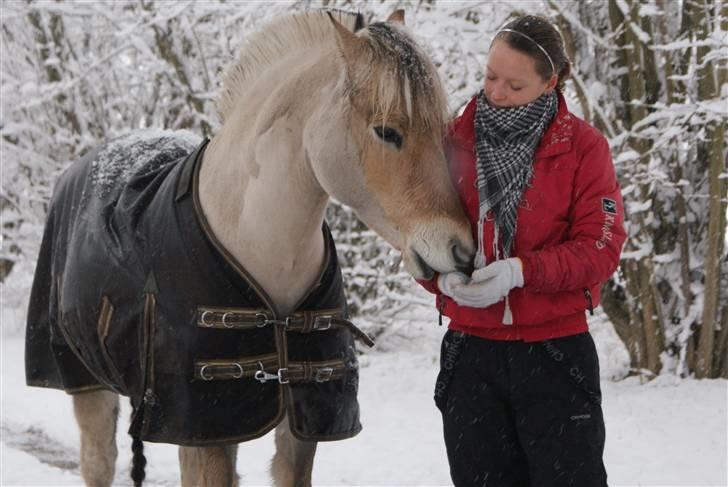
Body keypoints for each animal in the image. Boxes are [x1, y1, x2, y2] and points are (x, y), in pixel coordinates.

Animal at [24, 8, 472, 487]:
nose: (461, 249)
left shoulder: (300, 422)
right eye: (387, 131)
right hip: (89, 387)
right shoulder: (207, 430)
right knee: (98, 460)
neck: (254, 237)